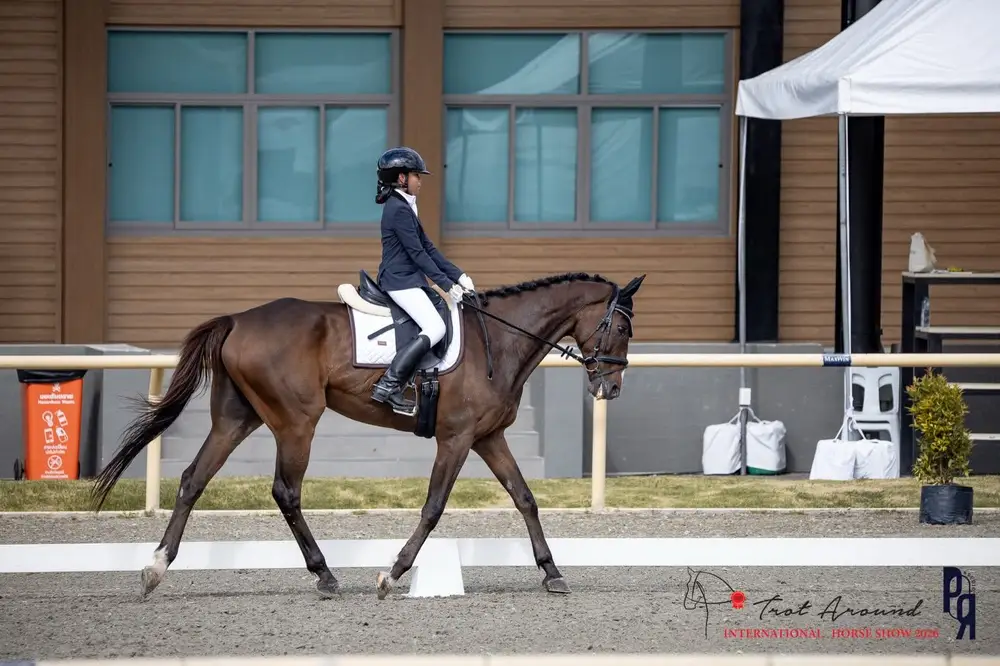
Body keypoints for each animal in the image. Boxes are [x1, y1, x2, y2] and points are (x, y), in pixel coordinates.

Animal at [89, 270, 645, 600]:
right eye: (621, 329)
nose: (612, 387)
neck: (501, 340)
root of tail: (239, 320)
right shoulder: (457, 438)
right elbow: (434, 506)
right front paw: (392, 573)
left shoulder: (488, 438)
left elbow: (525, 498)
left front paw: (552, 573)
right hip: (296, 422)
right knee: (286, 492)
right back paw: (325, 575)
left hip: (237, 419)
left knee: (192, 479)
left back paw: (156, 567)